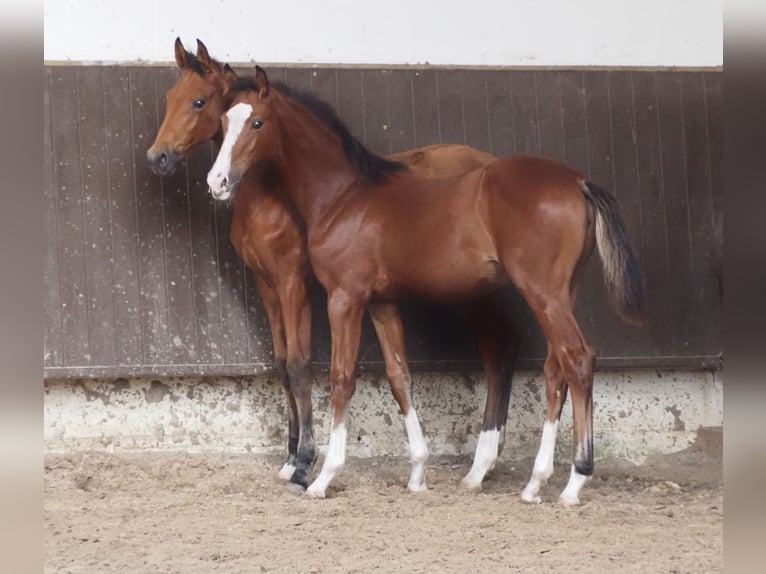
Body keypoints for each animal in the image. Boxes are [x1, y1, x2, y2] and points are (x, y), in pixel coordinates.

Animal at [144, 39, 520, 496]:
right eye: (170, 98)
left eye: (199, 102)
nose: (158, 157)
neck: (270, 198)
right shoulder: (267, 285)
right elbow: (282, 363)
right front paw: (290, 459)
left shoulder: (294, 283)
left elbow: (300, 364)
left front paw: (306, 464)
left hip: (477, 295)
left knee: (498, 358)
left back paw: (481, 466)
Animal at [207, 67, 644, 506]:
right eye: (223, 121)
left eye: (257, 123)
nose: (218, 181)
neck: (344, 197)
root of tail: (579, 181)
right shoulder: (382, 303)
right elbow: (400, 376)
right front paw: (417, 472)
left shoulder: (344, 298)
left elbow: (341, 378)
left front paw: (321, 477)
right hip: (562, 292)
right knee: (556, 369)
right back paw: (532, 484)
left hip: (542, 292)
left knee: (578, 359)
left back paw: (573, 483)